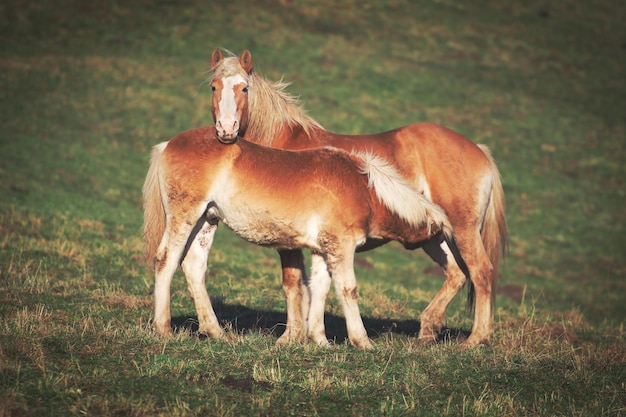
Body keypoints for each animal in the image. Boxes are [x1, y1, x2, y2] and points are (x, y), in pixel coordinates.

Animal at [144, 126, 450, 348]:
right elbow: (348, 290)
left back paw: (216, 331)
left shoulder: (323, 250)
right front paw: (362, 342)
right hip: (185, 216)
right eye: (441, 238)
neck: (363, 189)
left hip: (206, 220)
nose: (450, 260)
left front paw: (320, 340)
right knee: (166, 261)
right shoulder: (341, 247)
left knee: (194, 267)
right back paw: (164, 328)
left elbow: (320, 288)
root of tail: (169, 144)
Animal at [207, 48, 504, 348]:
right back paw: (428, 330)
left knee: (481, 272)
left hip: (463, 230)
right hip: (435, 236)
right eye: (214, 87)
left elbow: (293, 283)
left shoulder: (288, 240)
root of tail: (479, 151)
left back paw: (476, 338)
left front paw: (290, 337)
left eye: (244, 88)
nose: (226, 130)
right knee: (456, 273)